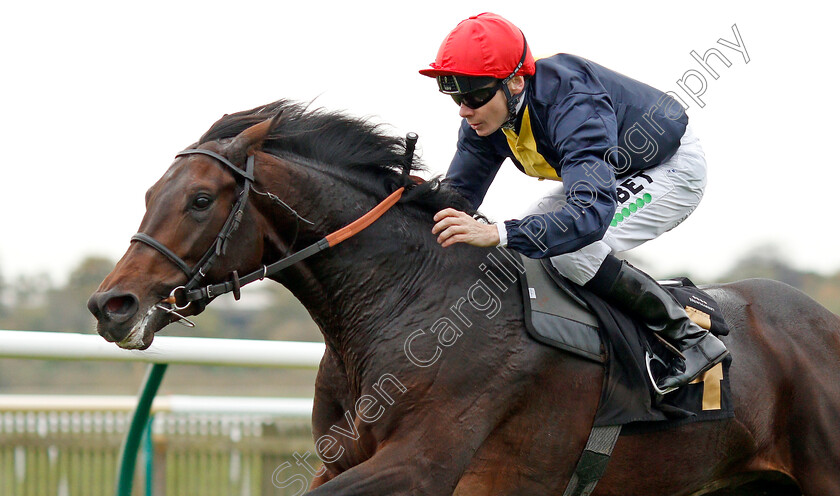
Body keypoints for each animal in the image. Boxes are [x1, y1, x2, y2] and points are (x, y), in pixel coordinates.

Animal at [87, 100, 840, 492]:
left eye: (200, 200)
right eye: (150, 194)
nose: (110, 306)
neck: (409, 302)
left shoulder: (424, 465)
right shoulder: (344, 458)